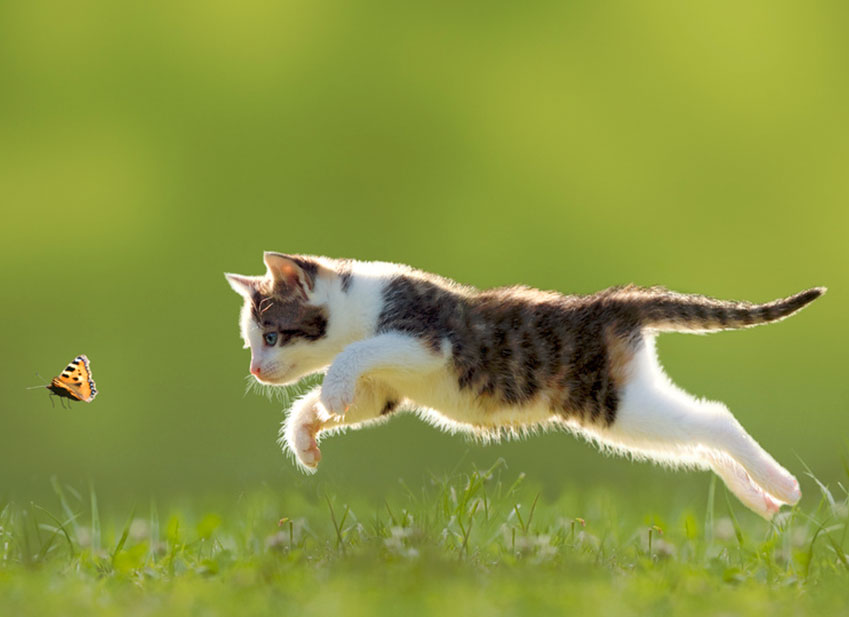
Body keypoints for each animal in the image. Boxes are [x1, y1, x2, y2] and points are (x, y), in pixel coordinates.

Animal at [224, 253, 820, 516]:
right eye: (252, 342)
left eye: (272, 336)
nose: (254, 370)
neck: (359, 303)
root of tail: (610, 304)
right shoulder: (386, 390)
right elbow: (351, 398)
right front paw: (306, 436)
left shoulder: (425, 340)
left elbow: (354, 354)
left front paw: (330, 391)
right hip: (629, 409)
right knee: (698, 442)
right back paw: (762, 500)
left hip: (617, 403)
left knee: (714, 419)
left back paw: (784, 486)